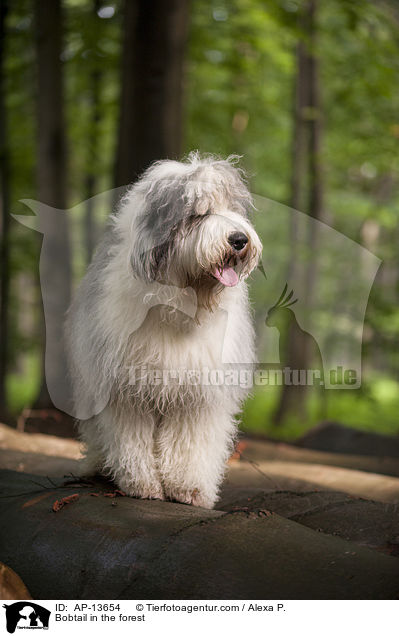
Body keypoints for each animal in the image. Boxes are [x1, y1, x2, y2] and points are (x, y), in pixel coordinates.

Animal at [65, 153, 262, 506]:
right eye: (198, 214)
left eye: (232, 210)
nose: (239, 240)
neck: (179, 305)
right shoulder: (126, 387)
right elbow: (132, 440)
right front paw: (142, 485)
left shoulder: (198, 392)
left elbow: (191, 444)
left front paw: (189, 489)